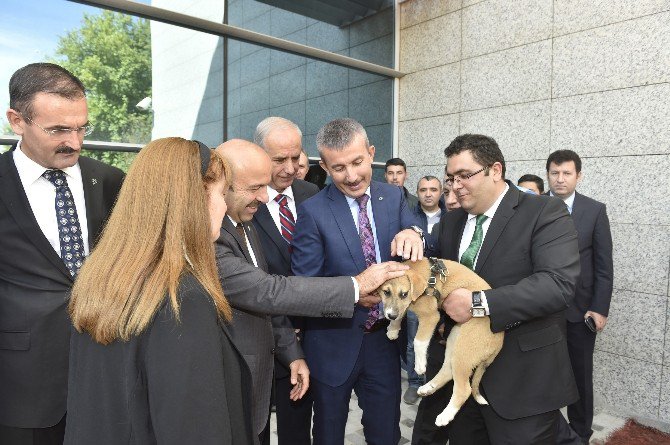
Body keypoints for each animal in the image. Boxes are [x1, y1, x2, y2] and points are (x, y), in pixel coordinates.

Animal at [384, 258, 504, 424]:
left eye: (404, 294)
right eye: (386, 292)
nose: (390, 315)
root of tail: (500, 339)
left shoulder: (430, 317)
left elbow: (418, 342)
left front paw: (420, 365)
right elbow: (401, 313)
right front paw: (393, 329)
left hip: (463, 352)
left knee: (464, 389)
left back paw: (445, 416)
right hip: (455, 340)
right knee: (448, 370)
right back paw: (429, 387)